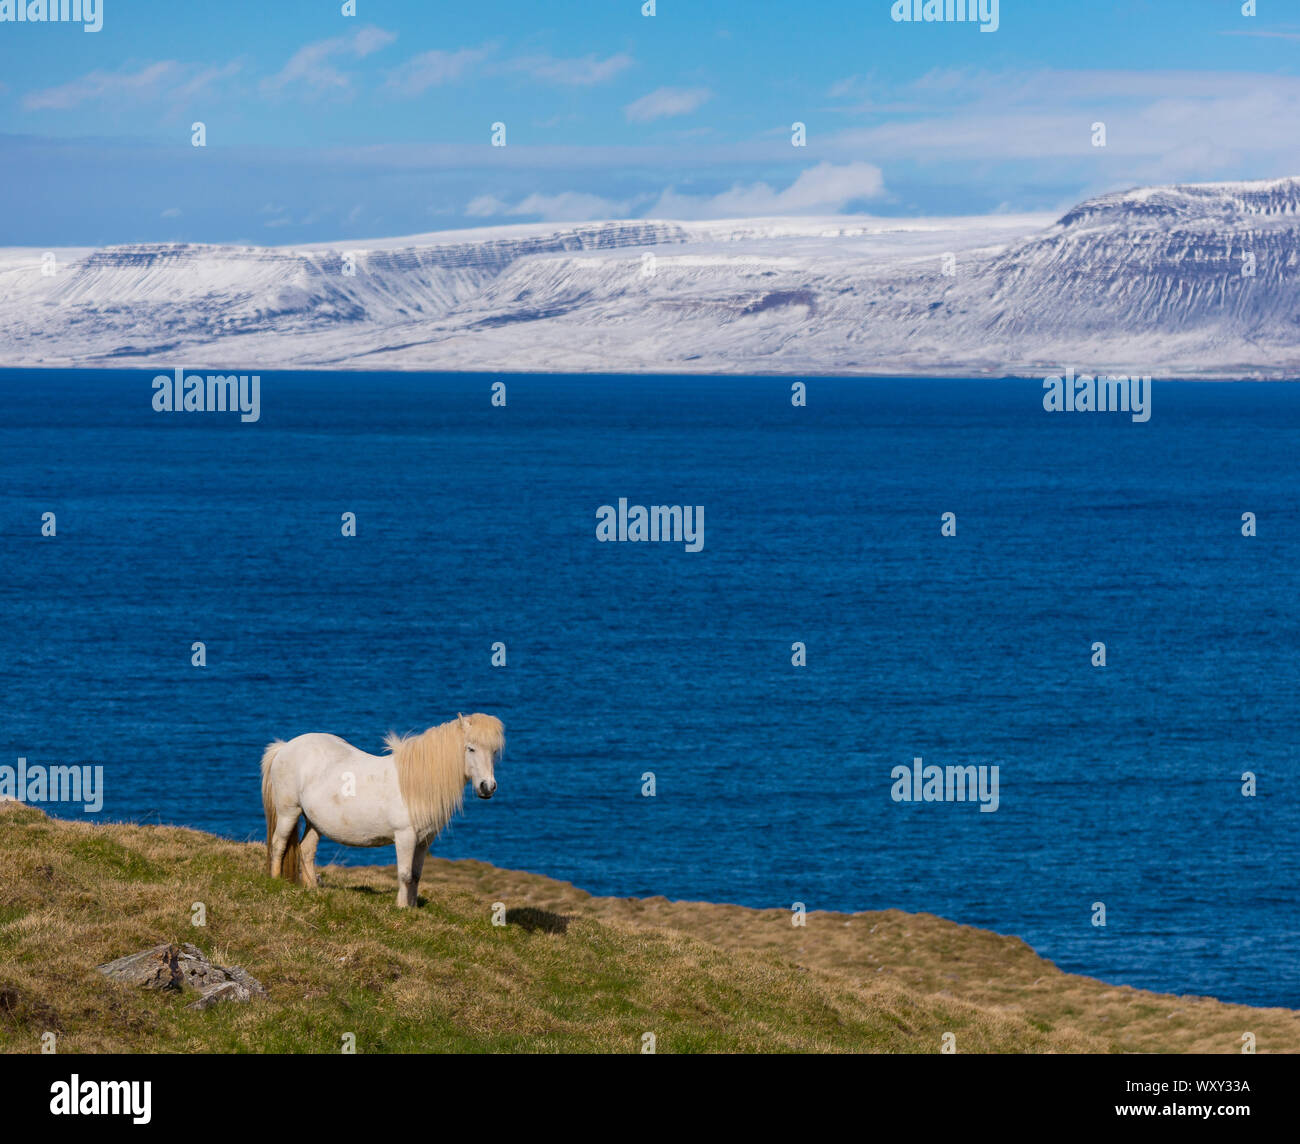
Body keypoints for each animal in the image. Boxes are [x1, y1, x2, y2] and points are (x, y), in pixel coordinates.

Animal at [261, 712, 504, 904]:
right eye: (470, 748)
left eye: (493, 751)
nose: (487, 787)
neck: (414, 784)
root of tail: (285, 747)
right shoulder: (405, 837)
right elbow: (405, 874)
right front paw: (402, 908)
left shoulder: (424, 840)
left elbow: (416, 875)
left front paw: (412, 908)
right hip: (289, 812)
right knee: (279, 843)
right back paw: (274, 881)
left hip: (315, 821)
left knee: (306, 850)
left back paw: (313, 889)